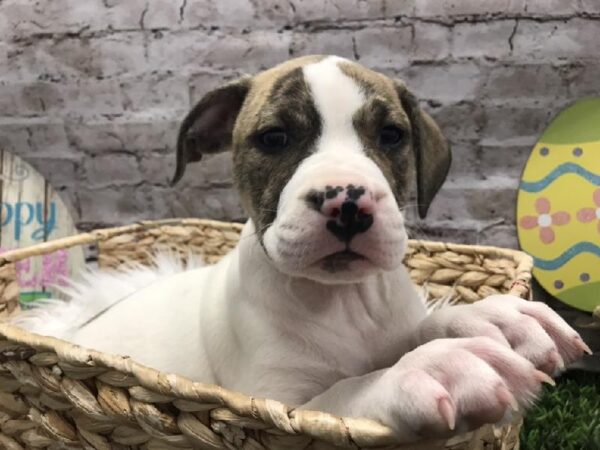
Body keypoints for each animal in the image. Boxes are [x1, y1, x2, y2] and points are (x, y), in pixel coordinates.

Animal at [15, 55, 592, 442]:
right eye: (273, 138)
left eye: (391, 135)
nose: (347, 203)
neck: (341, 300)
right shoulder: (277, 404)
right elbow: (346, 391)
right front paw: (433, 367)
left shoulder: (393, 325)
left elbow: (424, 325)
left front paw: (496, 320)